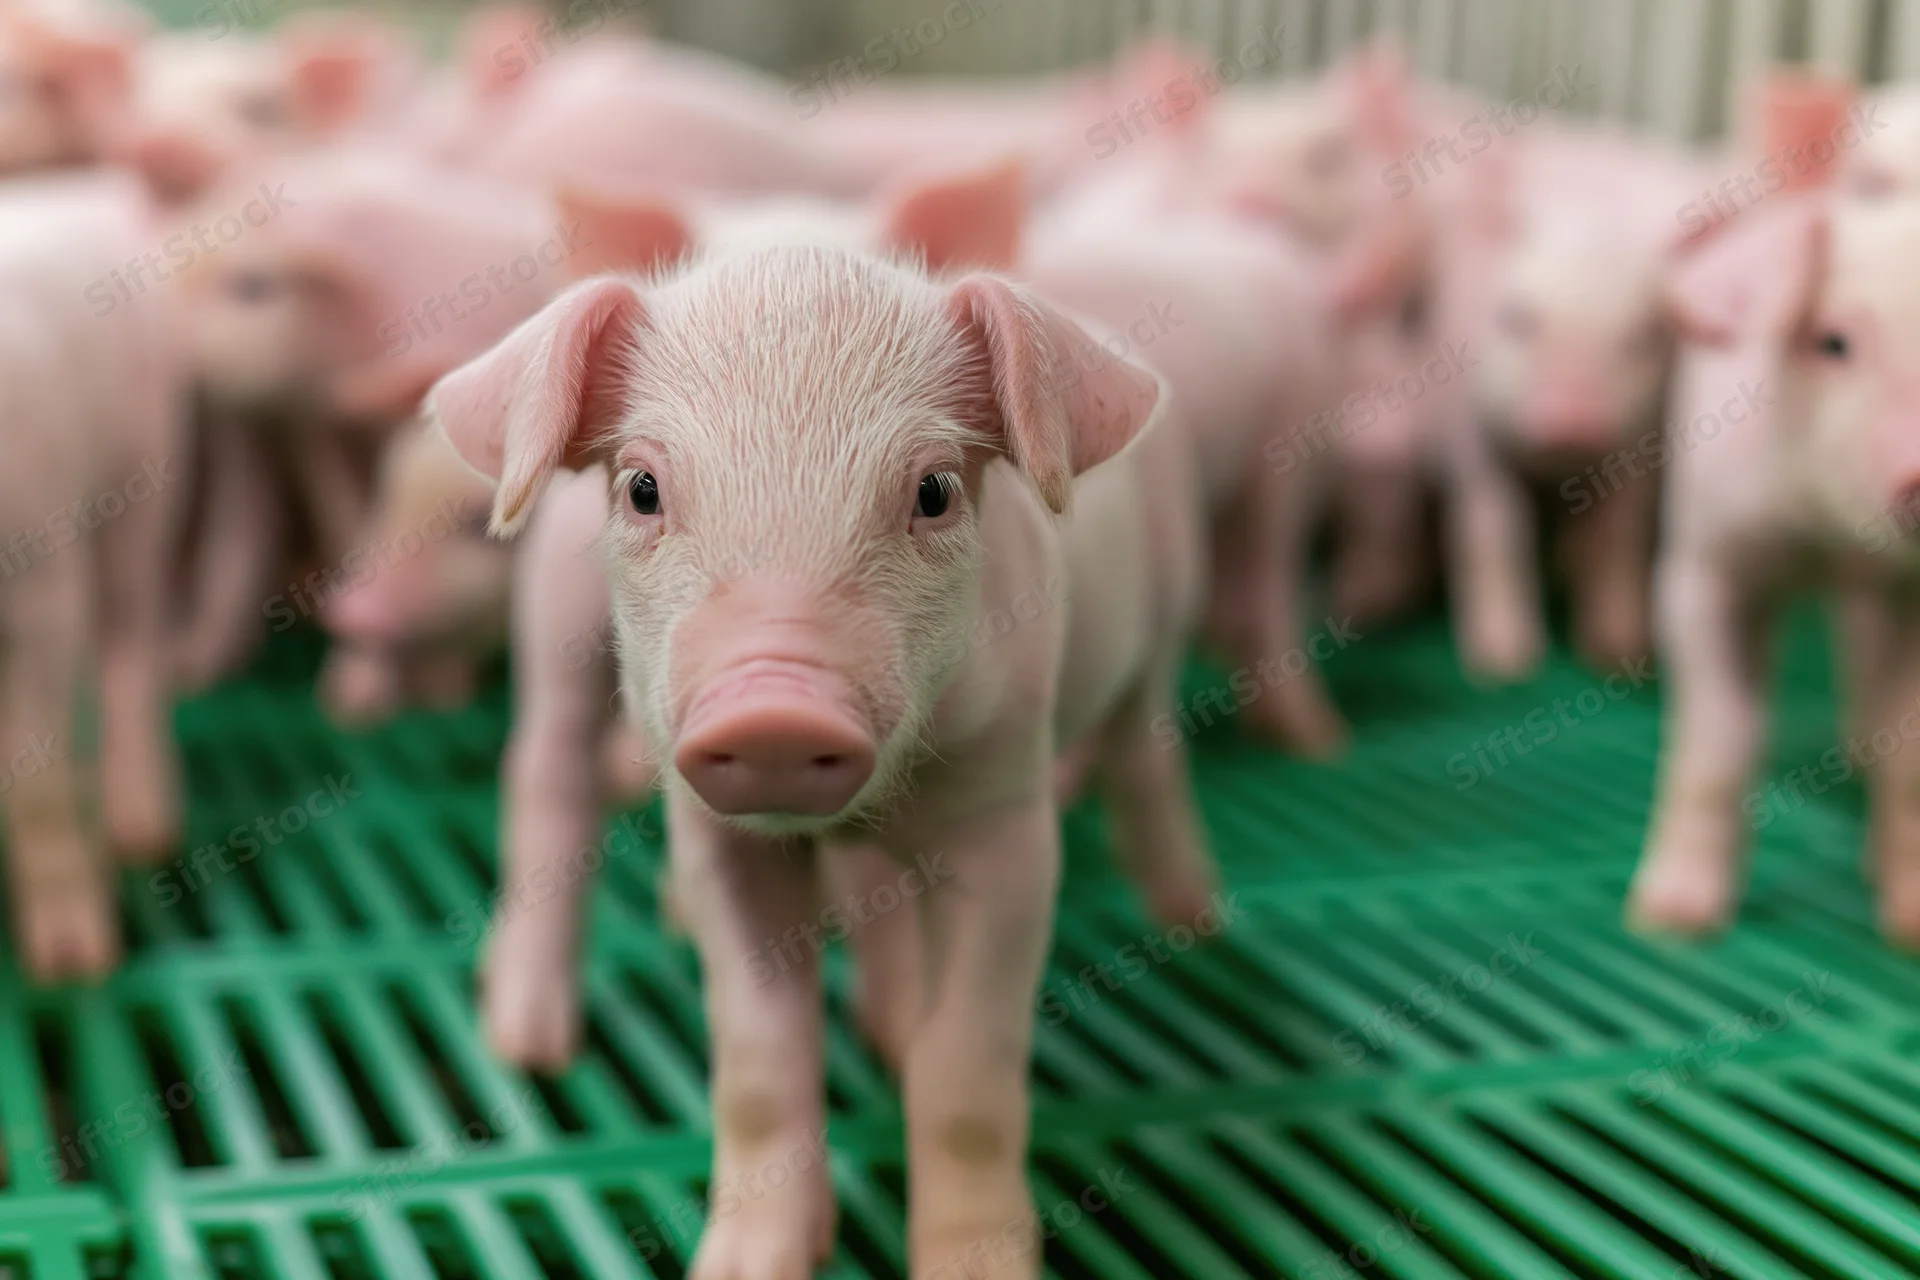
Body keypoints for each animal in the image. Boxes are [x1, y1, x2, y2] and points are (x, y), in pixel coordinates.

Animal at [432, 227, 1216, 1276]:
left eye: (934, 491)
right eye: (643, 488)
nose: (776, 712)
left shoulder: (1008, 820)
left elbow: (965, 1069)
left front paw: (975, 1264)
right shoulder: (724, 842)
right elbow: (759, 1060)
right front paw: (740, 1267)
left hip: (1164, 616)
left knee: (1145, 751)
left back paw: (1192, 922)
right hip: (554, 616)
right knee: (546, 769)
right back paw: (529, 1042)